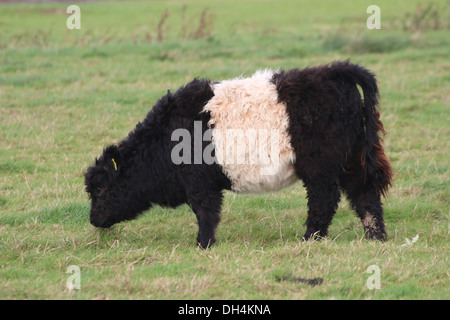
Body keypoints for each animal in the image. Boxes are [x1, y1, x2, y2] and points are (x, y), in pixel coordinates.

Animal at [85, 60, 394, 250]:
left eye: (100, 189)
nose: (93, 219)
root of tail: (333, 72)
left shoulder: (200, 183)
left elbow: (206, 213)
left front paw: (203, 244)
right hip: (352, 159)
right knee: (365, 196)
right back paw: (375, 238)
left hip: (321, 168)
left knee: (324, 201)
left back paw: (309, 239)